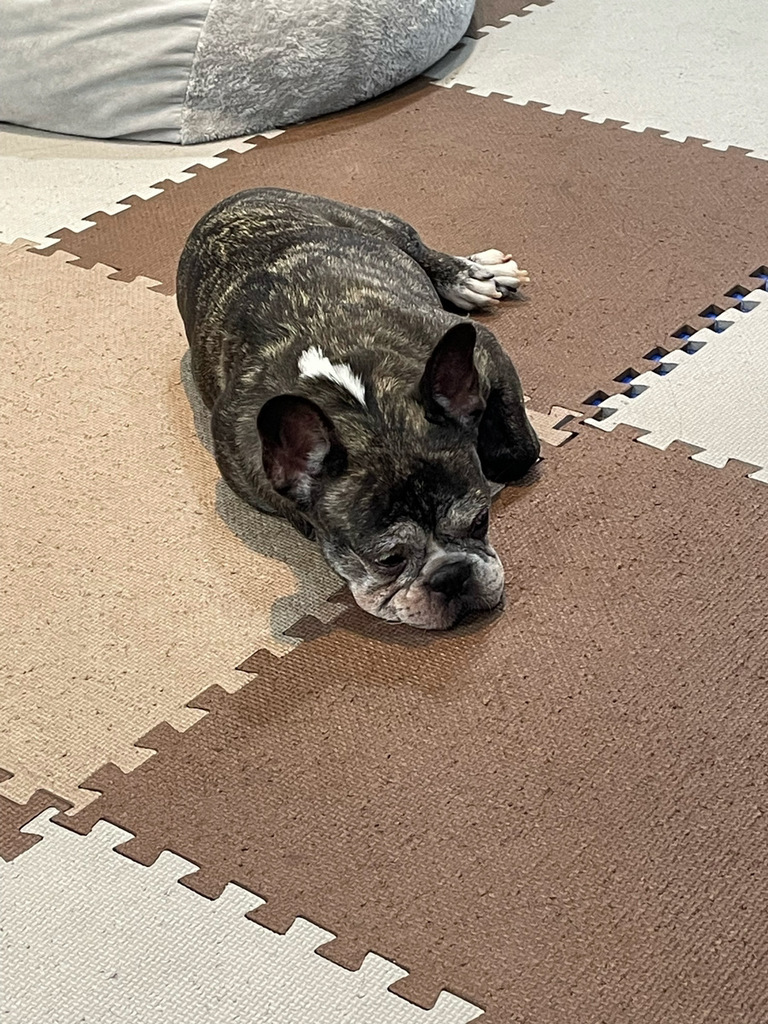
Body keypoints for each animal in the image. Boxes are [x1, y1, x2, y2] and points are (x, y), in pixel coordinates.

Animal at [177, 188, 540, 630]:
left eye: (481, 520)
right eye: (388, 560)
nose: (452, 576)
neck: (360, 403)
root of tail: (235, 197)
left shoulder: (485, 352)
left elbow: (518, 451)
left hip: (379, 227)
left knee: (421, 250)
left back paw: (473, 275)